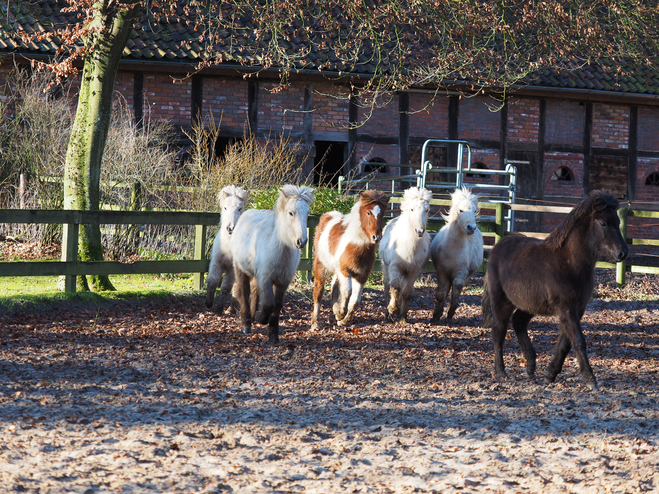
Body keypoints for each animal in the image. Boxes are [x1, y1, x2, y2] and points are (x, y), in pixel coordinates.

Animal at [232, 184, 314, 344]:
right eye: (290, 213)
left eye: (307, 214)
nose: (301, 241)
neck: (279, 249)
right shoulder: (265, 279)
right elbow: (268, 304)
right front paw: (261, 318)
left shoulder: (283, 282)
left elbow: (276, 306)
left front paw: (273, 335)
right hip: (241, 270)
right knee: (244, 293)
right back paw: (247, 324)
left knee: (254, 293)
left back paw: (253, 317)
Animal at [312, 191, 390, 330]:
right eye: (368, 213)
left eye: (382, 213)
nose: (376, 237)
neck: (356, 246)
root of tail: (327, 215)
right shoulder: (345, 271)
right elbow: (347, 292)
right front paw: (340, 314)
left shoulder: (362, 275)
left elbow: (355, 301)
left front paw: (343, 320)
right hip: (321, 266)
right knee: (319, 291)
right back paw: (315, 323)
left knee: (334, 286)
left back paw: (332, 316)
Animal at [376, 187, 434, 322]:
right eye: (412, 209)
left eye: (427, 210)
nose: (419, 231)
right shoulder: (394, 267)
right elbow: (395, 288)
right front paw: (392, 309)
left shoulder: (413, 271)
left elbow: (406, 292)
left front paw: (403, 315)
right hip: (386, 267)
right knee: (387, 287)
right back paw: (388, 313)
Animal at [430, 187, 482, 322]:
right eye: (461, 210)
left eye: (474, 211)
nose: (471, 228)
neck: (452, 249)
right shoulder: (441, 271)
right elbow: (441, 293)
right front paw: (435, 316)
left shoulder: (461, 272)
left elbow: (456, 291)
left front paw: (449, 314)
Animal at [484, 193, 628, 390]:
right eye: (603, 223)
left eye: (618, 221)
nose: (623, 253)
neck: (569, 263)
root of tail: (496, 248)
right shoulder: (566, 307)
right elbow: (578, 340)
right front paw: (591, 380)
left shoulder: (577, 308)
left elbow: (566, 342)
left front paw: (550, 375)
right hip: (501, 301)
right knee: (498, 331)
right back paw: (501, 373)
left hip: (530, 305)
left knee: (519, 322)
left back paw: (530, 368)